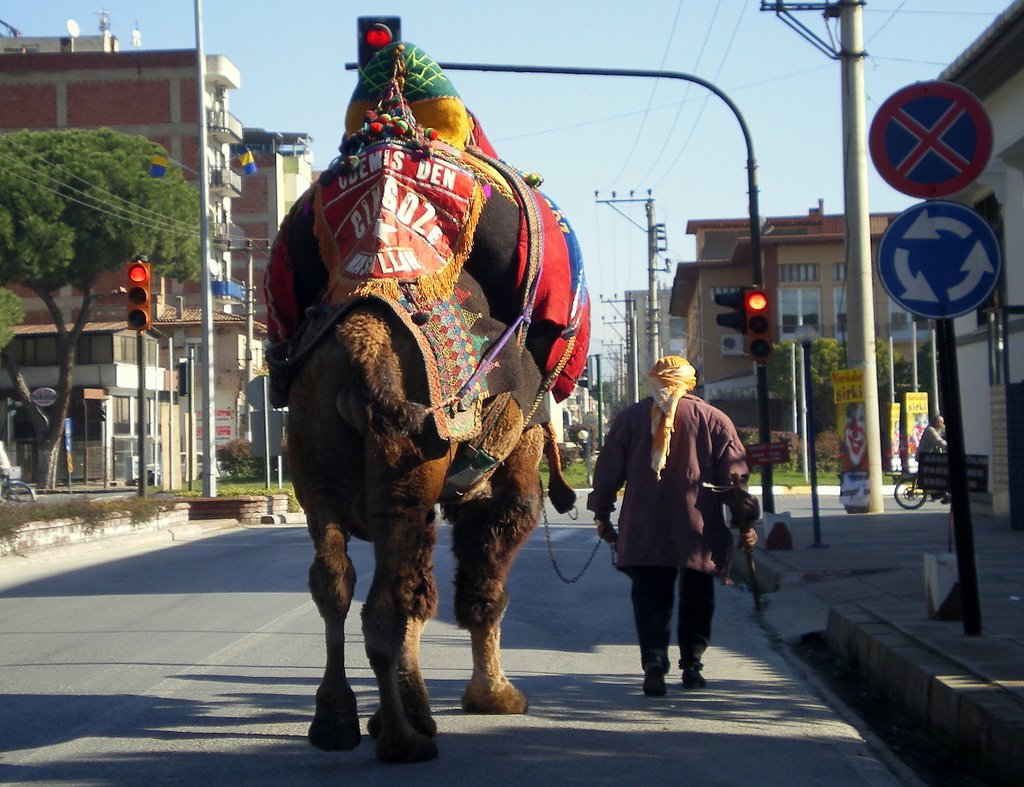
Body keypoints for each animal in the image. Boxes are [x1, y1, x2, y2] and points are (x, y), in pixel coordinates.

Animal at [268, 41, 589, 761]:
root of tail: (363, 351)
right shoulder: (507, 469)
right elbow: (482, 582)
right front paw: (491, 696)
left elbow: (421, 589)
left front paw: (419, 705)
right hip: (407, 458)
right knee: (386, 602)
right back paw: (402, 740)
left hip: (315, 455)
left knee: (336, 583)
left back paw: (337, 720)